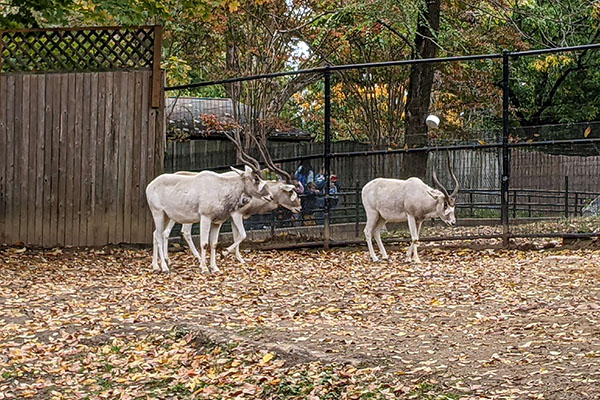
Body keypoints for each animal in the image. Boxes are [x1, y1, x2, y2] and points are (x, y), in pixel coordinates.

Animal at [146, 133, 274, 274]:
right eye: (256, 179)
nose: (271, 196)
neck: (221, 187)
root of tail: (150, 185)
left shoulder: (217, 222)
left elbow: (214, 243)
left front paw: (215, 267)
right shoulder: (205, 218)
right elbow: (204, 243)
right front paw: (204, 267)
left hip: (167, 216)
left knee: (156, 234)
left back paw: (155, 265)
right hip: (158, 213)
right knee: (159, 235)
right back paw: (164, 267)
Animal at [163, 136, 300, 264]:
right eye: (291, 191)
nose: (299, 208)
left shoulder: (233, 217)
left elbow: (236, 236)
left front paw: (239, 258)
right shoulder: (236, 215)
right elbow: (242, 235)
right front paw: (224, 253)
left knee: (169, 232)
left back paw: (169, 259)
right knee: (182, 232)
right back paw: (192, 257)